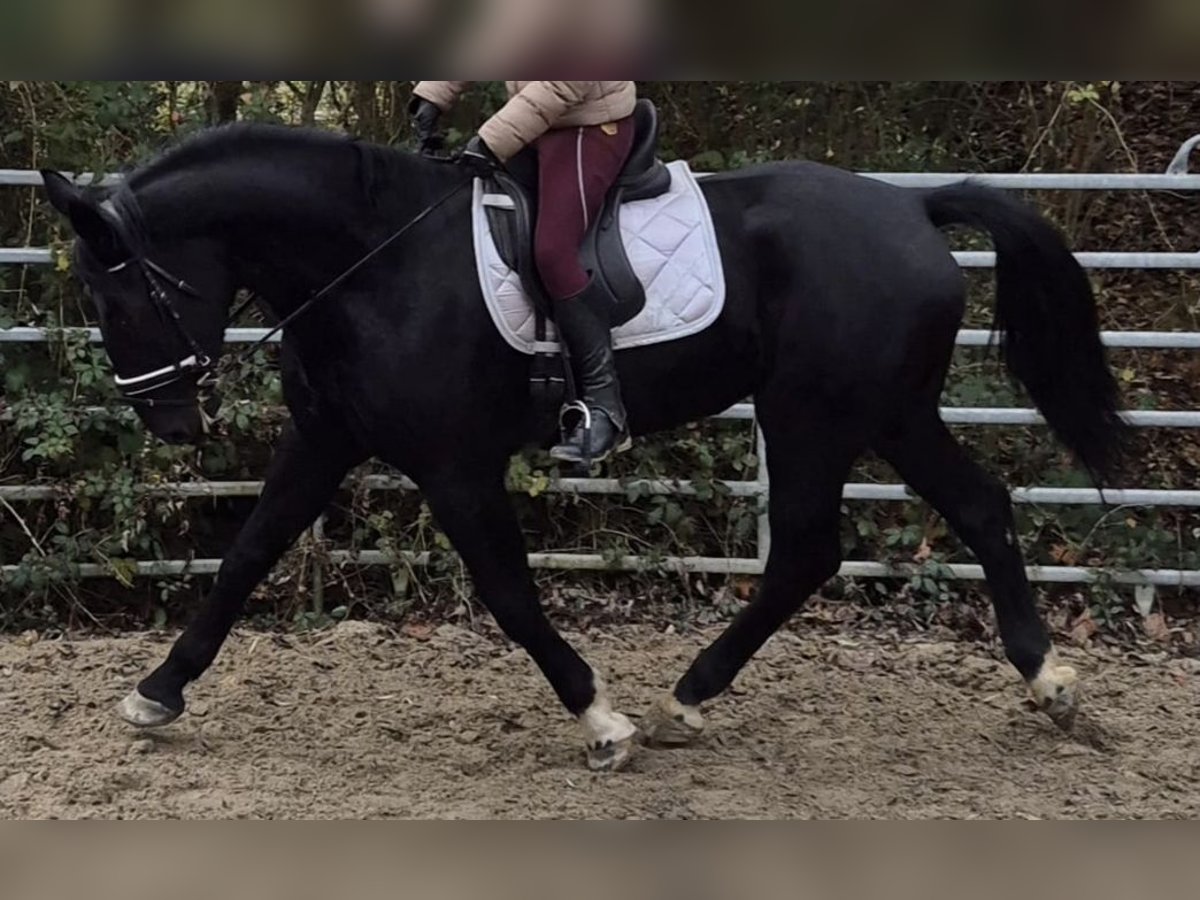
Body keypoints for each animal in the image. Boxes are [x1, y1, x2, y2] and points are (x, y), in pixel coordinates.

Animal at [40, 123, 1124, 771]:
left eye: (122, 299)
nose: (169, 424)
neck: (374, 261)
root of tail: (908, 205)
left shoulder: (455, 466)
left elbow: (510, 594)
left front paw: (601, 720)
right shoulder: (325, 441)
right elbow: (244, 559)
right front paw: (155, 694)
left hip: (818, 415)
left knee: (816, 546)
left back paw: (688, 698)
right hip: (887, 413)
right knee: (969, 510)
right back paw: (1046, 682)